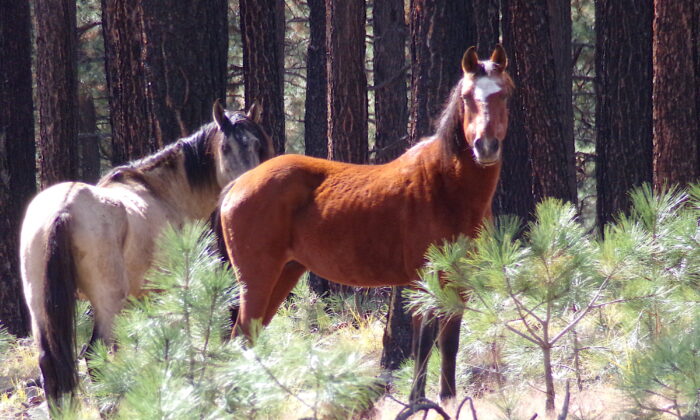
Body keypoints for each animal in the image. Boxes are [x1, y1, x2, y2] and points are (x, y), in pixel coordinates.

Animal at [220, 46, 516, 400]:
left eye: (505, 94)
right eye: (468, 97)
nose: (486, 146)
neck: (445, 188)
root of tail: (238, 184)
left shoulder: (458, 282)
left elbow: (449, 344)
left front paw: (447, 399)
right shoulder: (424, 280)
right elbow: (423, 344)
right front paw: (417, 402)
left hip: (285, 273)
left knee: (250, 337)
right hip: (257, 279)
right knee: (240, 338)